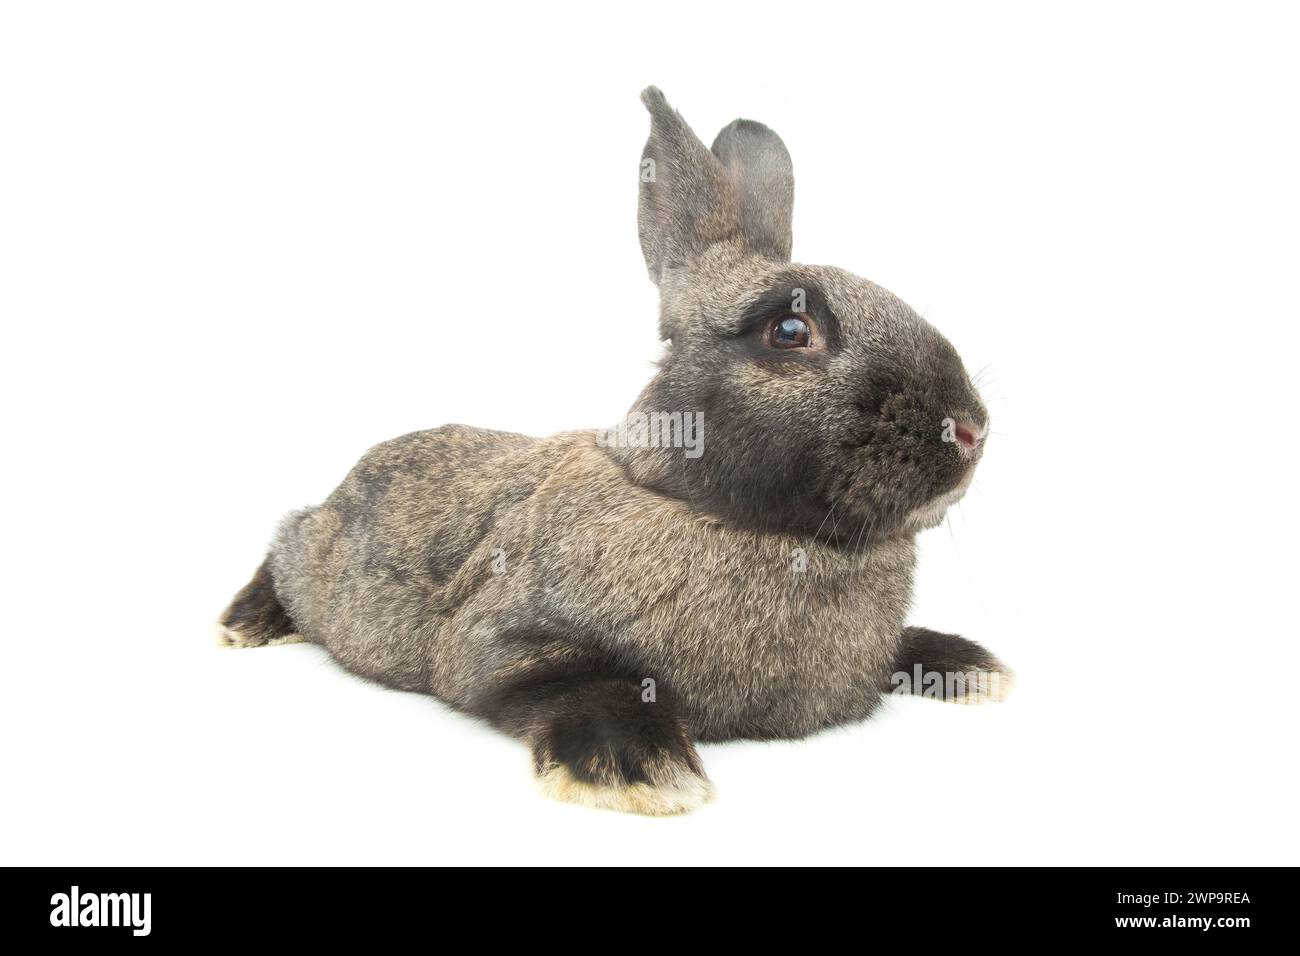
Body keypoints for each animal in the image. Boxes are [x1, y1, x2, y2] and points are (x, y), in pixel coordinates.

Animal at [218, 87, 1011, 815]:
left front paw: (974, 668)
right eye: (790, 331)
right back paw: (247, 623)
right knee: (283, 544)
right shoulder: (502, 641)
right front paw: (645, 773)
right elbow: (592, 685)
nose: (971, 429)